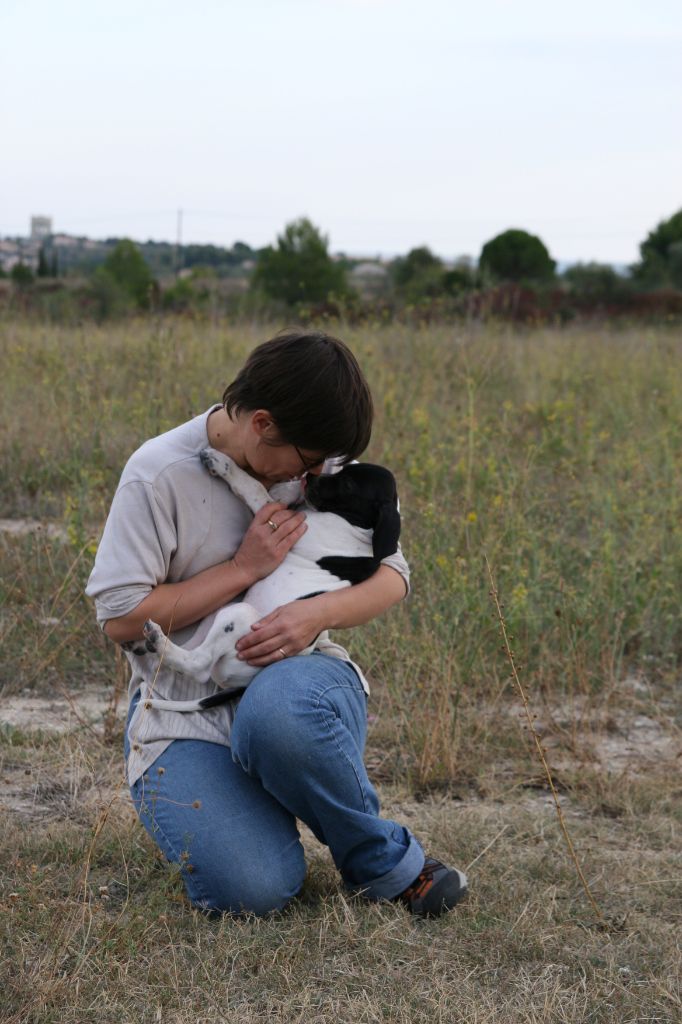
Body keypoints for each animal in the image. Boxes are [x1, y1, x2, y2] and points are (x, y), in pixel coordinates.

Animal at [137, 448, 399, 712]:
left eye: (347, 485)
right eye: (343, 471)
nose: (310, 478)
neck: (360, 527)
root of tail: (245, 682)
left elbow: (255, 489)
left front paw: (223, 464)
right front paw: (287, 490)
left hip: (238, 613)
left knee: (199, 664)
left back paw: (158, 641)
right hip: (221, 609)